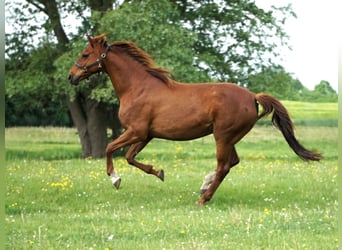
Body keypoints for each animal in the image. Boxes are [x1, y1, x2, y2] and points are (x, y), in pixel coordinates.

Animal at [68, 33, 322, 205]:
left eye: (85, 54)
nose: (71, 76)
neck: (137, 88)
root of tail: (252, 96)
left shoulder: (136, 131)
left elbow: (110, 148)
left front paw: (115, 179)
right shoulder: (145, 135)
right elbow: (130, 157)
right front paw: (159, 172)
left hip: (222, 136)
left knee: (224, 166)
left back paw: (203, 197)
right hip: (230, 137)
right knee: (232, 163)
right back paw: (204, 186)